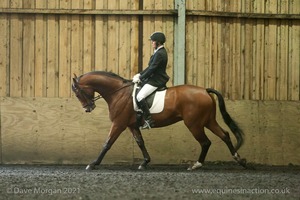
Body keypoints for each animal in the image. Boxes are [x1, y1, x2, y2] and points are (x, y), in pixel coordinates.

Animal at [71, 71, 247, 170]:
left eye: (78, 92)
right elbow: (140, 142)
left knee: (206, 142)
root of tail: (204, 90)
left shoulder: (119, 124)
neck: (118, 93)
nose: (88, 108)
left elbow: (107, 143)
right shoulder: (131, 125)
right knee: (225, 135)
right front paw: (145, 162)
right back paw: (239, 160)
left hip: (195, 124)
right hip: (208, 121)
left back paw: (196, 165)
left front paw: (93, 163)